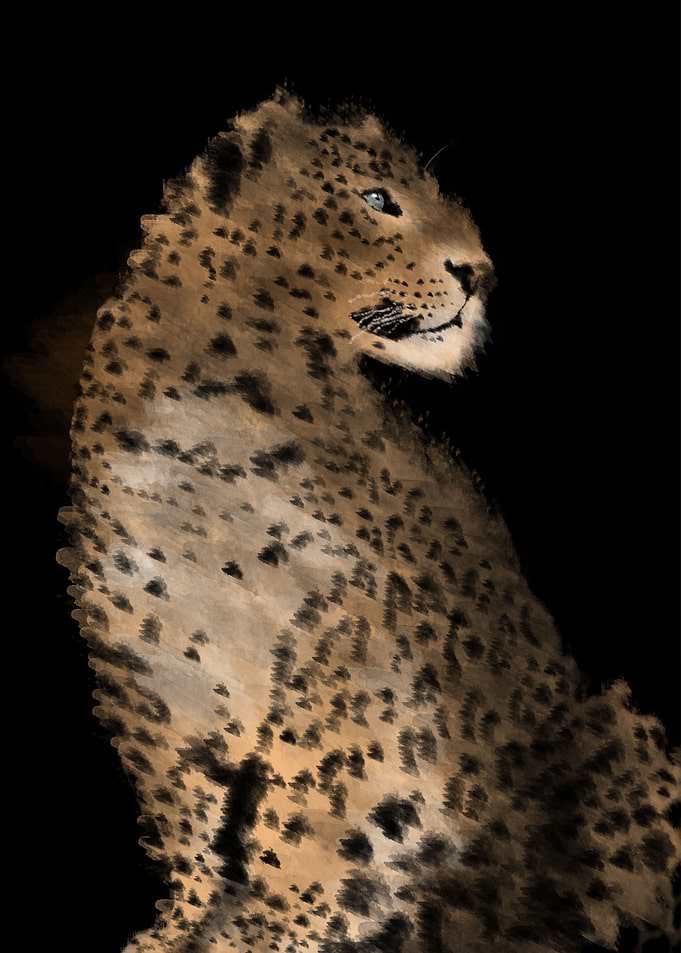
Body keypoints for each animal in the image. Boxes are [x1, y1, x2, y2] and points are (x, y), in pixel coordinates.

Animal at [58, 88, 680, 953]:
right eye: (379, 200)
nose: (480, 272)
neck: (213, 408)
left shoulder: (359, 636)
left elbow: (312, 793)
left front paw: (272, 923)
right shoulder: (153, 645)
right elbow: (183, 801)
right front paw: (183, 922)